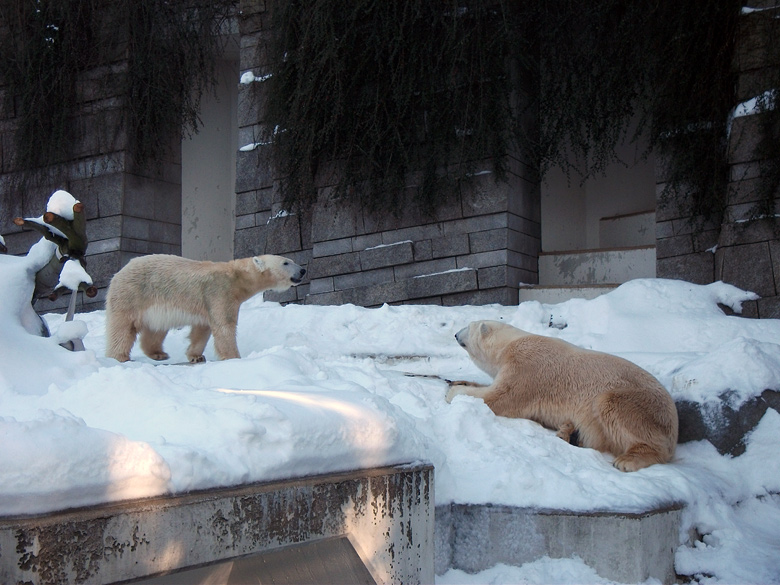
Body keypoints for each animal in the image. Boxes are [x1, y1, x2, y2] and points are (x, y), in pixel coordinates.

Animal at [106, 254, 304, 362]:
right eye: (286, 262)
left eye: (291, 260)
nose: (303, 270)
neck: (237, 277)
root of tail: (120, 271)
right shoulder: (220, 291)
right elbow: (224, 326)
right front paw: (234, 358)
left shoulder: (208, 302)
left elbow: (202, 329)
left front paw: (196, 356)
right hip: (132, 294)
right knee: (122, 327)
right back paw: (119, 356)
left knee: (155, 330)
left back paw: (159, 353)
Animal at [448, 320, 680, 470]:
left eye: (468, 326)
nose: (456, 334)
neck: (509, 345)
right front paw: (458, 381)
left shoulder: (527, 368)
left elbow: (499, 398)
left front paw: (453, 392)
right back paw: (568, 433)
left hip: (645, 405)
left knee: (611, 405)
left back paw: (627, 460)